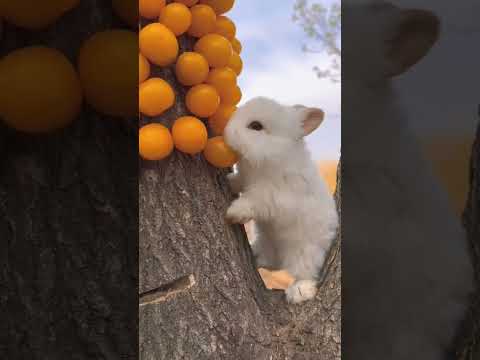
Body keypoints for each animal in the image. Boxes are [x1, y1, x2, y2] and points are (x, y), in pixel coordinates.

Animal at [224, 96, 340, 304]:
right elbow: (239, 182)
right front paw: (229, 182)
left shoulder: (276, 197)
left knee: (305, 273)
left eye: (256, 126)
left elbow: (255, 201)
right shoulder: (246, 179)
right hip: (268, 243)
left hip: (306, 252)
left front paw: (234, 212)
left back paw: (299, 292)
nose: (226, 131)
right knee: (270, 262)